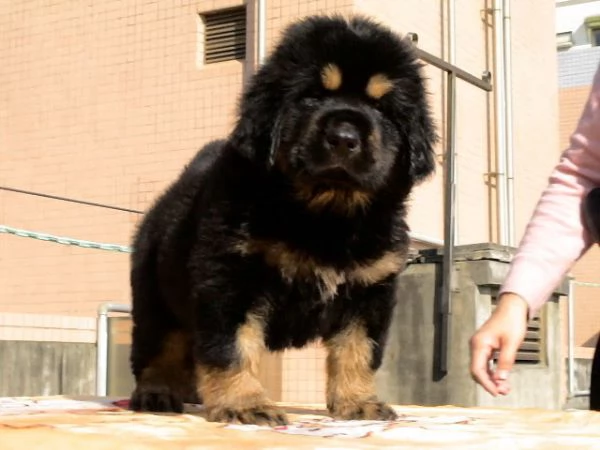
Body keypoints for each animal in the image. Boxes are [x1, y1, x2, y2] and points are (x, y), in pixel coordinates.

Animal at [129, 14, 436, 426]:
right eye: (311, 97)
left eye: (381, 107)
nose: (345, 137)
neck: (324, 216)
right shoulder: (229, 275)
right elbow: (232, 346)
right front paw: (245, 404)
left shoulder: (370, 289)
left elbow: (358, 350)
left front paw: (359, 402)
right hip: (154, 296)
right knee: (158, 347)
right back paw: (157, 393)